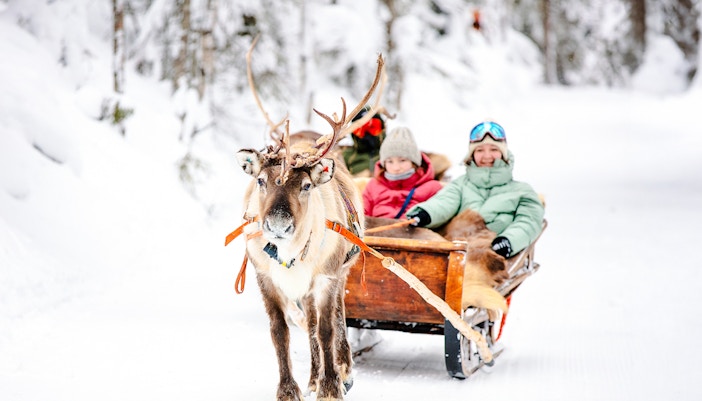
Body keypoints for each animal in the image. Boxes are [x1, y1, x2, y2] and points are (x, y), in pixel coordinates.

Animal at [235, 37, 387, 401]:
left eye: (304, 185)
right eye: (261, 181)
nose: (278, 224)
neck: (290, 255)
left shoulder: (326, 277)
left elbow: (327, 329)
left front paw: (332, 385)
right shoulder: (266, 278)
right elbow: (280, 332)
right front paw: (289, 390)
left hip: (341, 271)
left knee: (334, 319)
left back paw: (341, 369)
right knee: (309, 326)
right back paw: (315, 376)